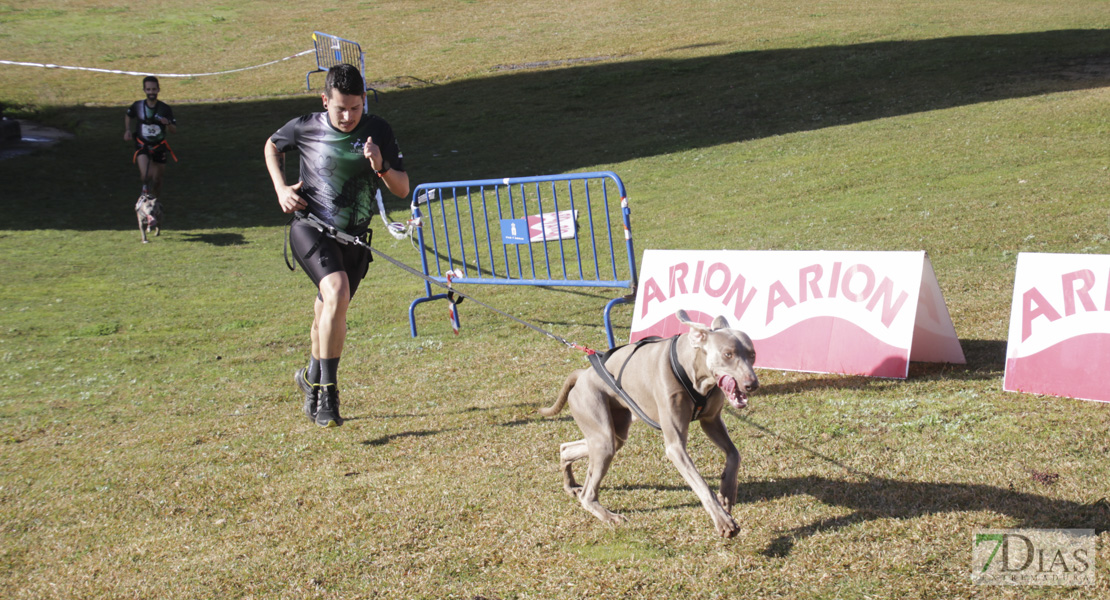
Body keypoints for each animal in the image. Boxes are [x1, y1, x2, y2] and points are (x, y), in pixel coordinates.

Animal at [539, 310, 763, 536]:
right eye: (728, 354)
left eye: (753, 354)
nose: (752, 385)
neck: (692, 371)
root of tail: (582, 375)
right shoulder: (675, 447)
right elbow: (701, 485)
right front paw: (723, 521)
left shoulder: (711, 421)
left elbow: (734, 454)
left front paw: (727, 492)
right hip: (600, 431)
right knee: (588, 493)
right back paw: (609, 516)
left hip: (614, 430)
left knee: (567, 448)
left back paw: (569, 483)